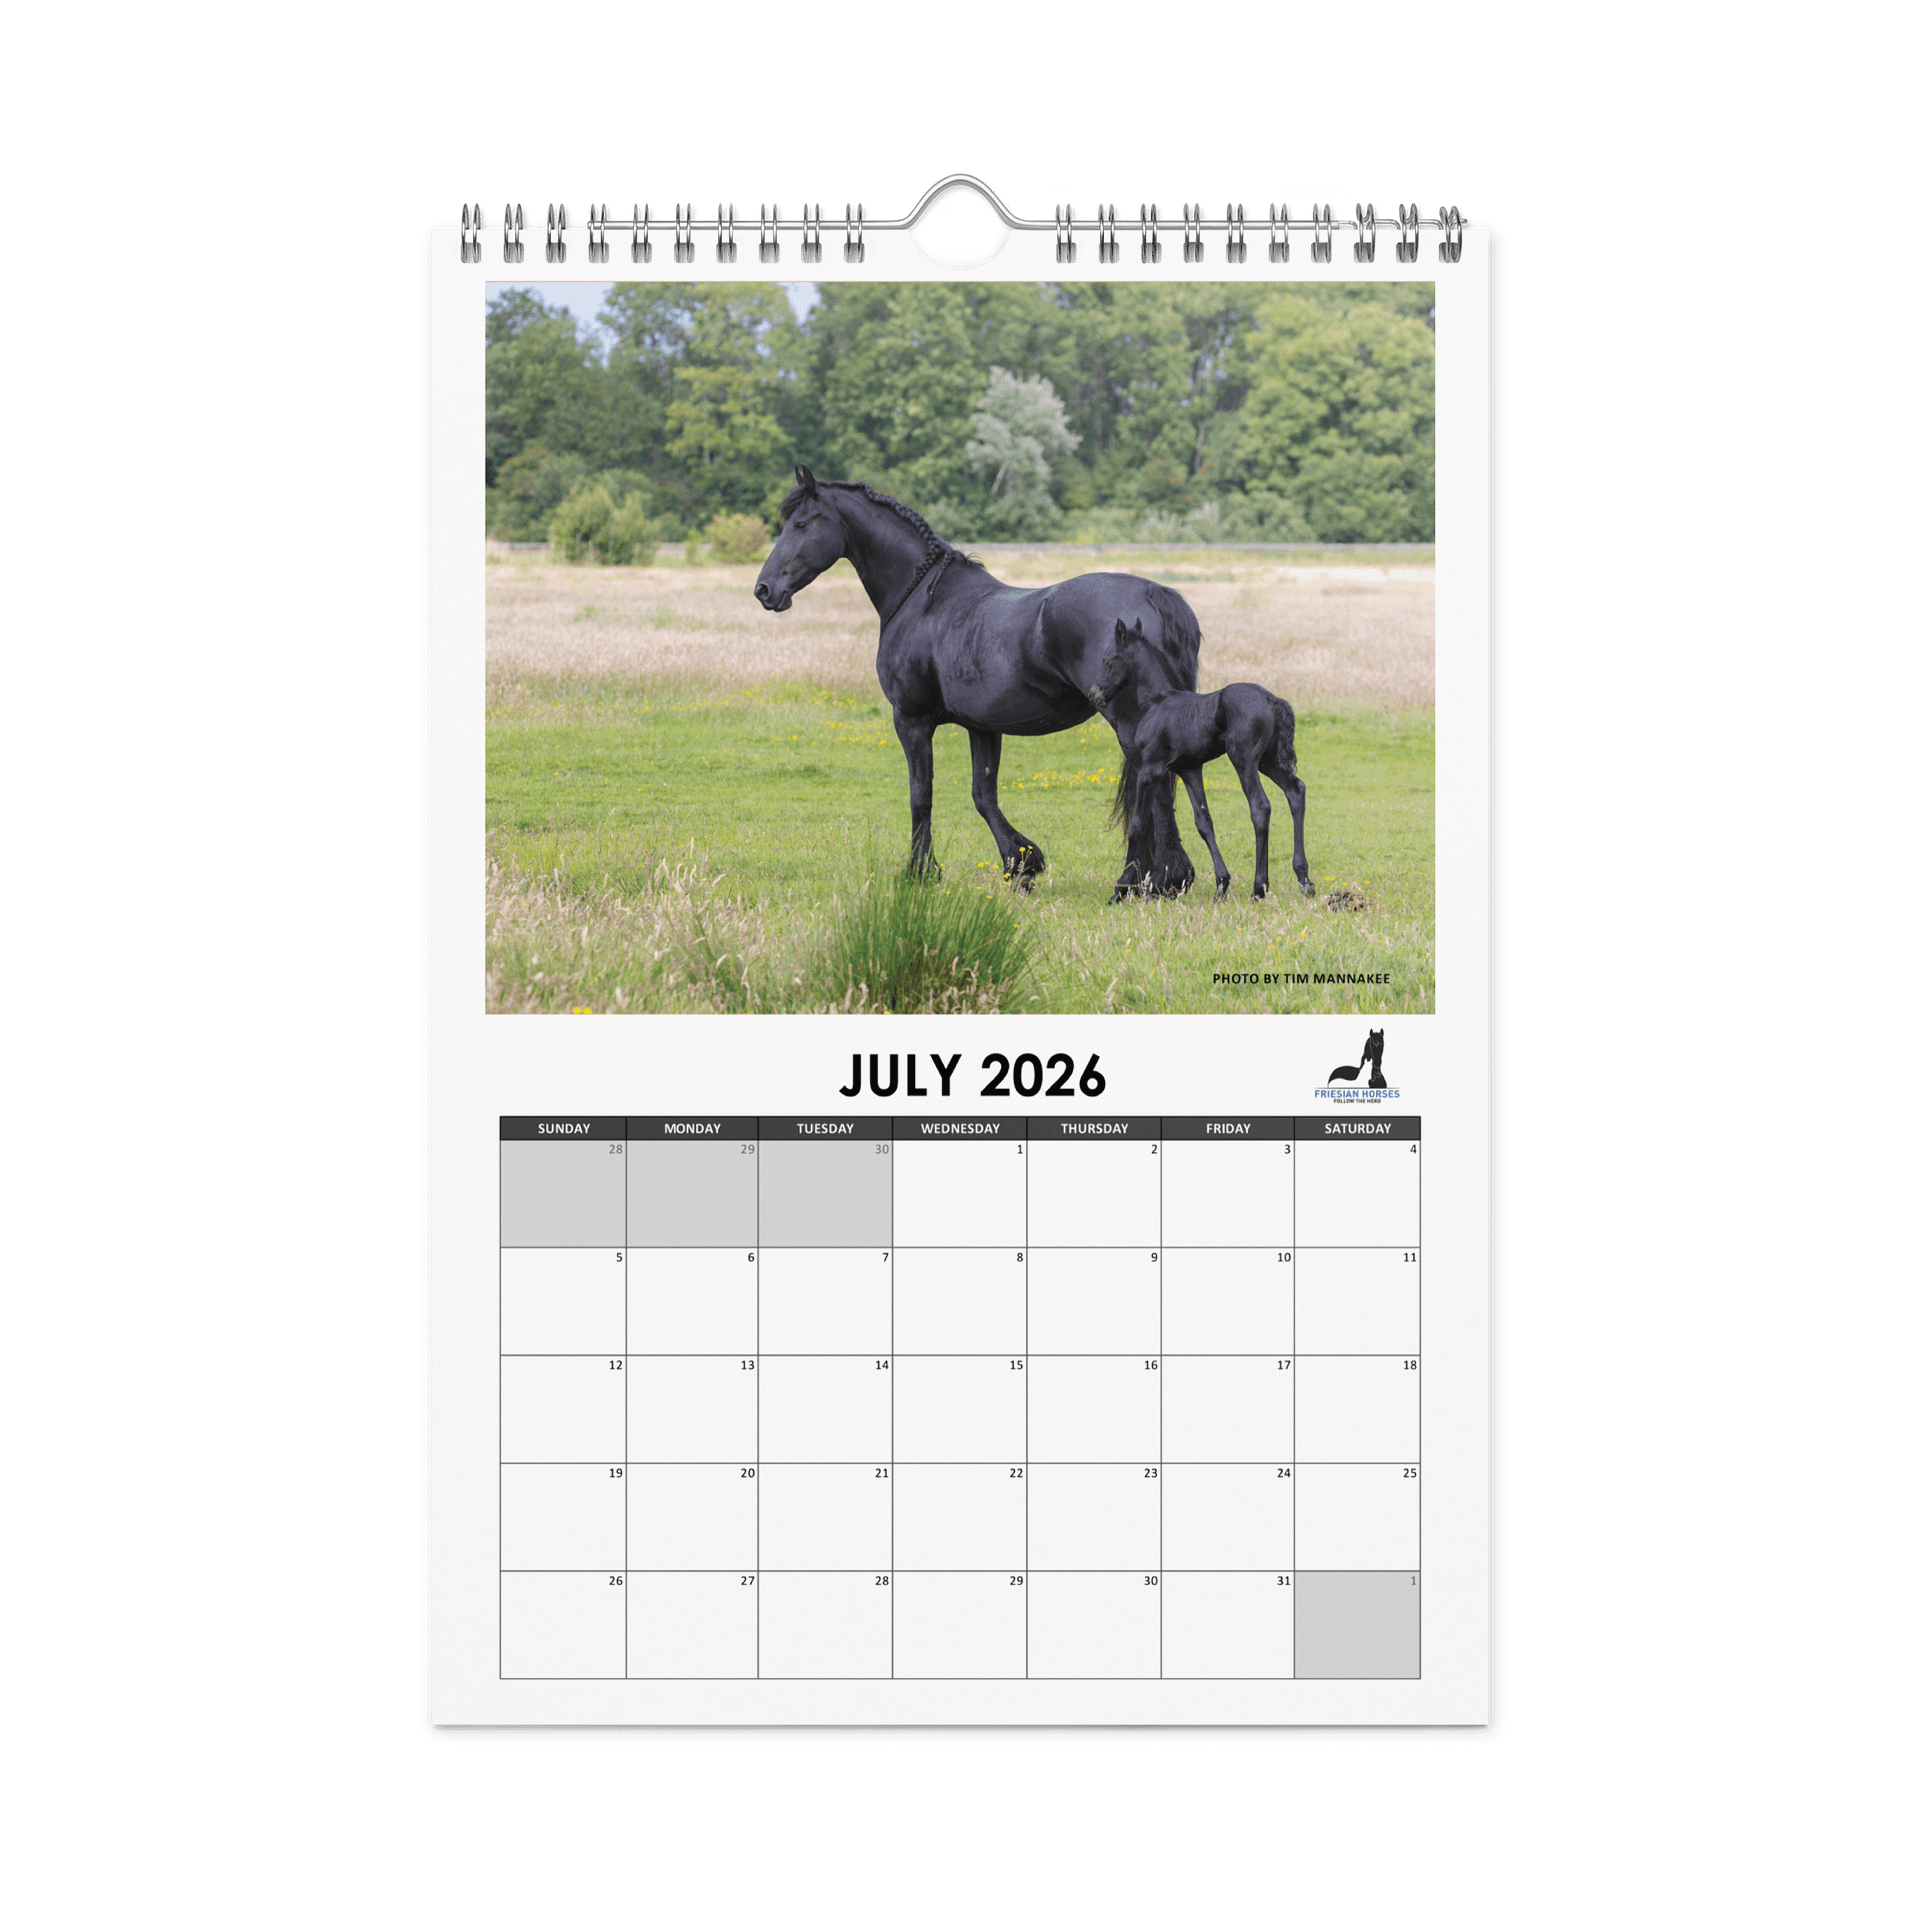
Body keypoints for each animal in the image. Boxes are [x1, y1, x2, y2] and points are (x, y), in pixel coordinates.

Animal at [753, 465, 1201, 901]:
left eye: (801, 523)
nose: (764, 590)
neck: (923, 600)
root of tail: (1153, 593)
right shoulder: (983, 727)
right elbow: (983, 795)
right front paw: (1021, 864)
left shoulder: (911, 721)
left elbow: (921, 794)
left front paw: (921, 872)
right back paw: (1163, 878)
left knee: (1155, 783)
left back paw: (1143, 879)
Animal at [1087, 618, 1313, 900]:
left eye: (1108, 660)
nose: (1093, 694)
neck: (1157, 701)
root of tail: (1272, 699)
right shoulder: (1190, 769)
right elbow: (1204, 822)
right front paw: (1221, 885)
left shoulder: (1150, 769)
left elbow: (1138, 824)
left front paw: (1122, 891)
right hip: (1268, 761)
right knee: (1295, 791)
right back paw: (1304, 879)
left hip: (1244, 761)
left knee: (1260, 807)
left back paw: (1259, 888)